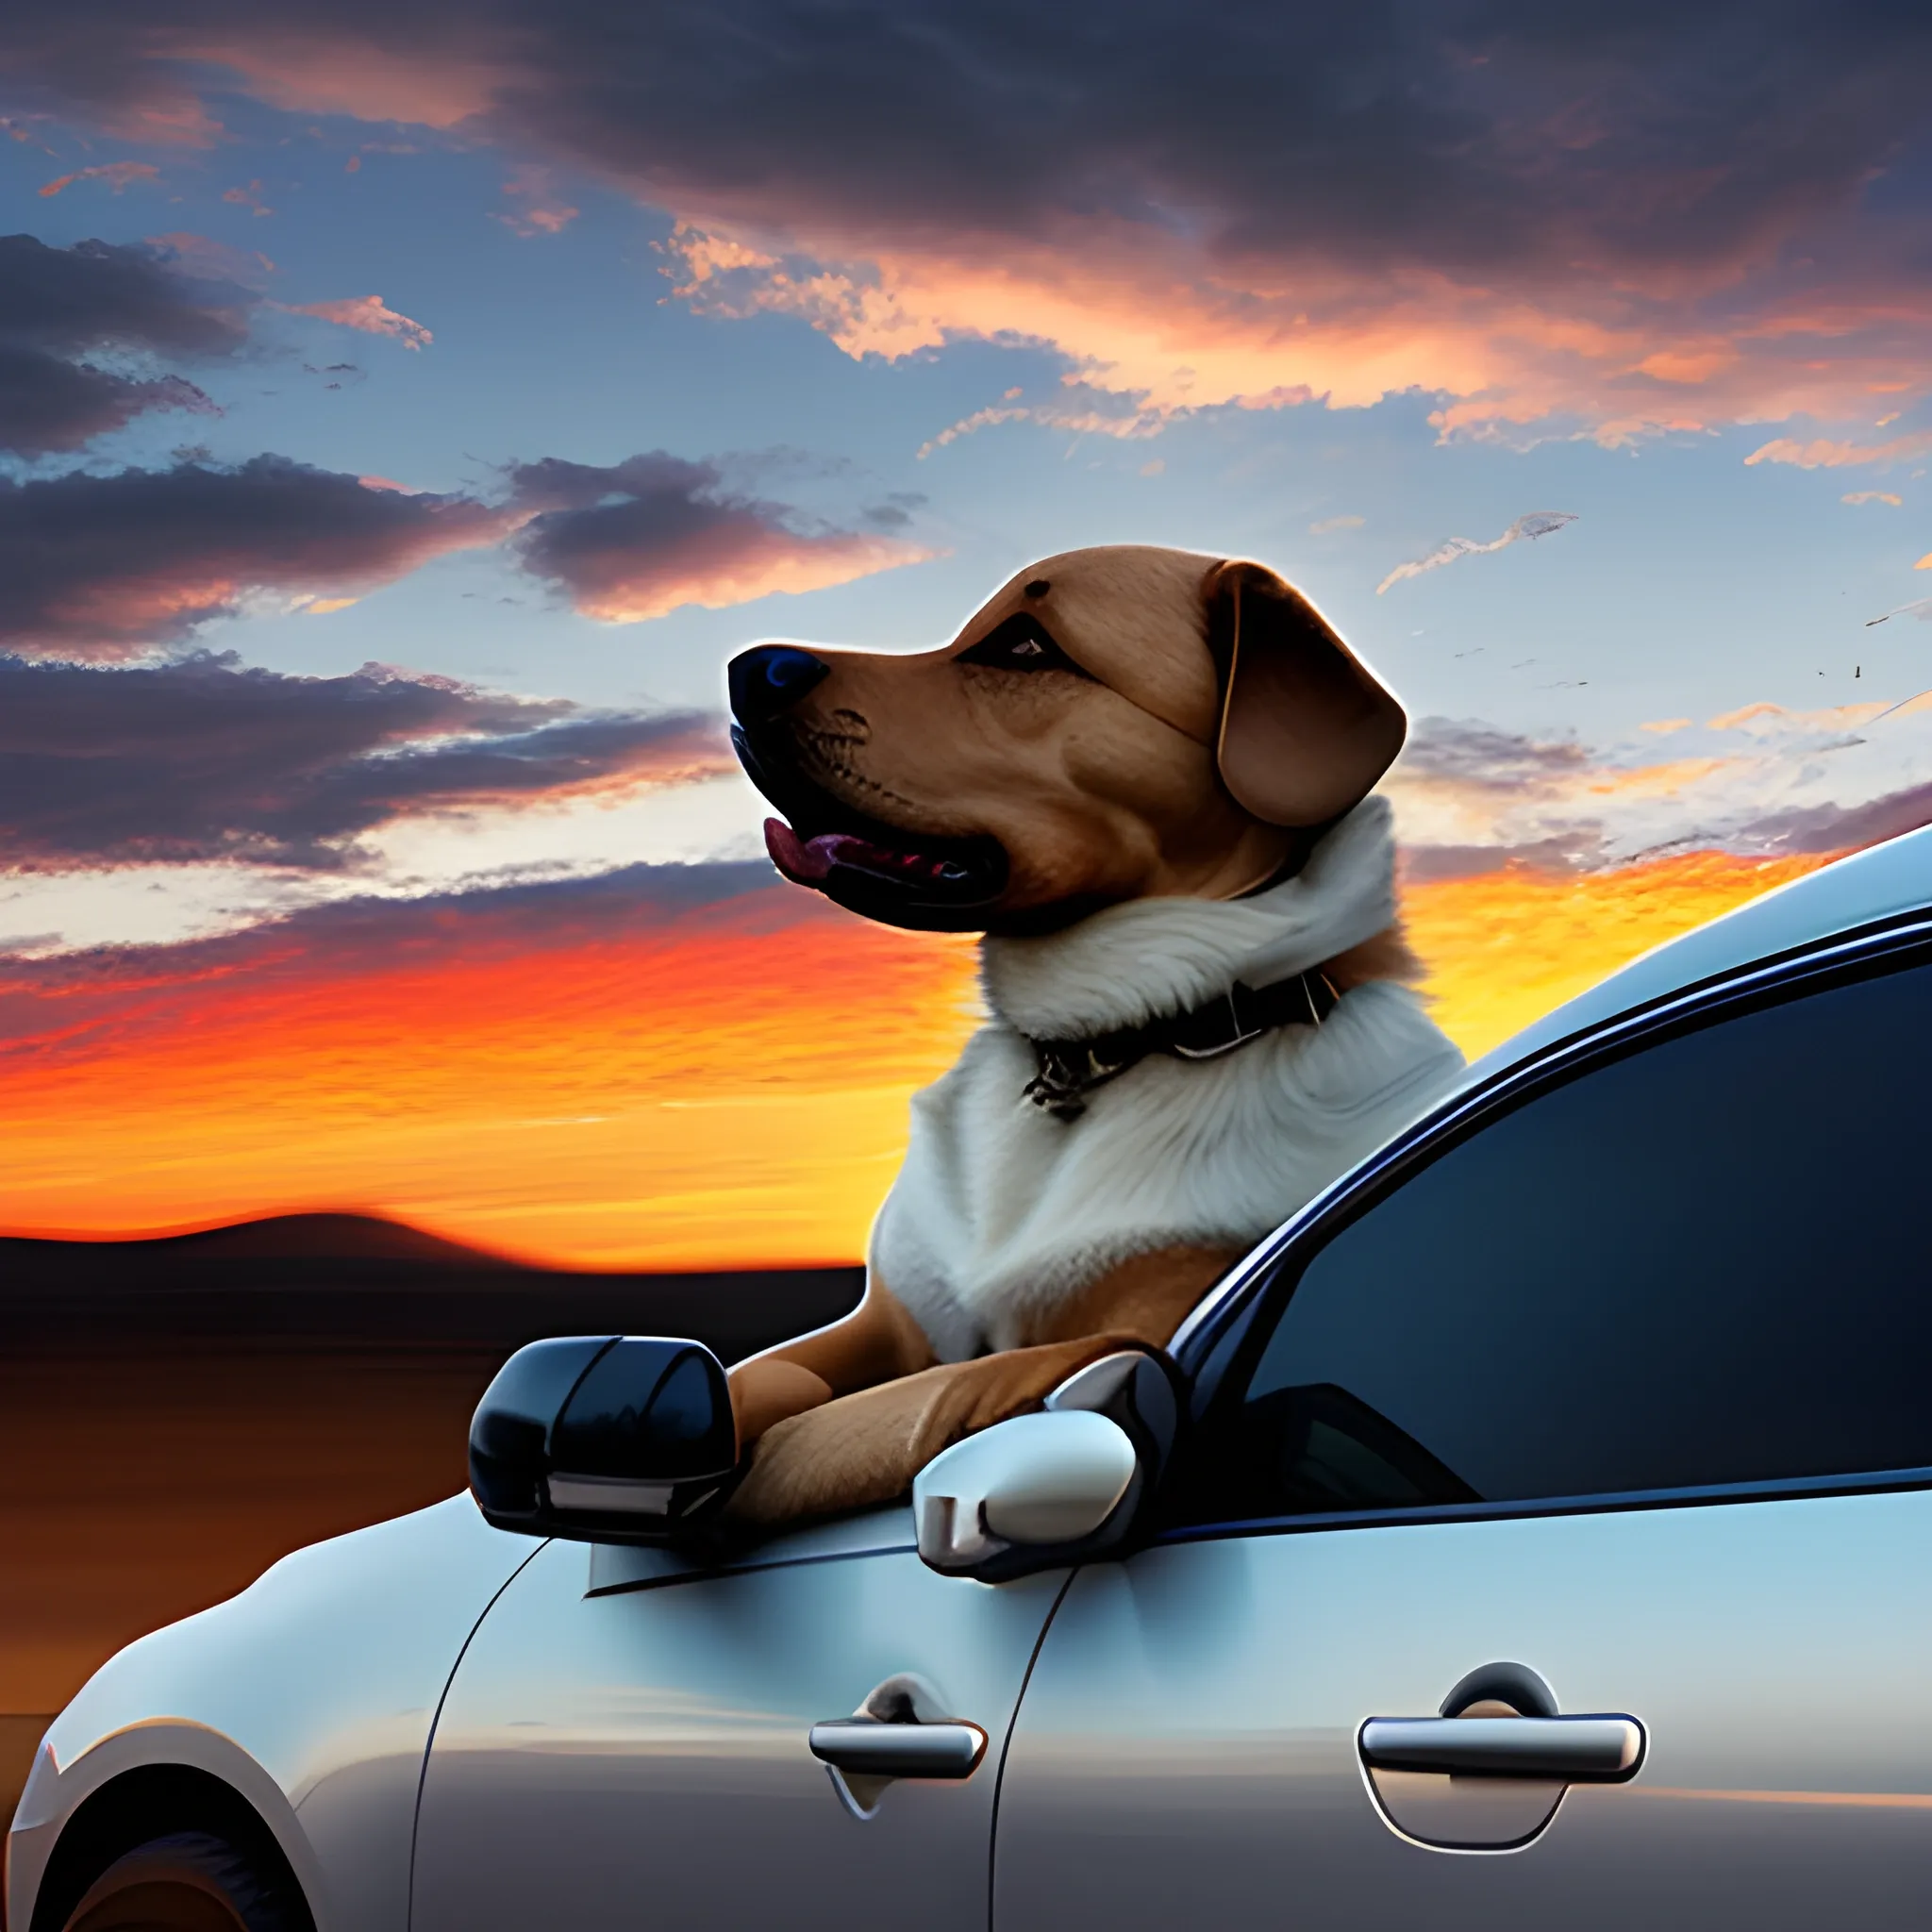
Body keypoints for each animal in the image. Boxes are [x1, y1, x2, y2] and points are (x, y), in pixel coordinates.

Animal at [726, 544, 1460, 1522]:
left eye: (1027, 646)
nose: (747, 670)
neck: (1111, 1040)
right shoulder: (885, 1320)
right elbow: (764, 1376)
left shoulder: (1167, 1315)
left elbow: (935, 1398)